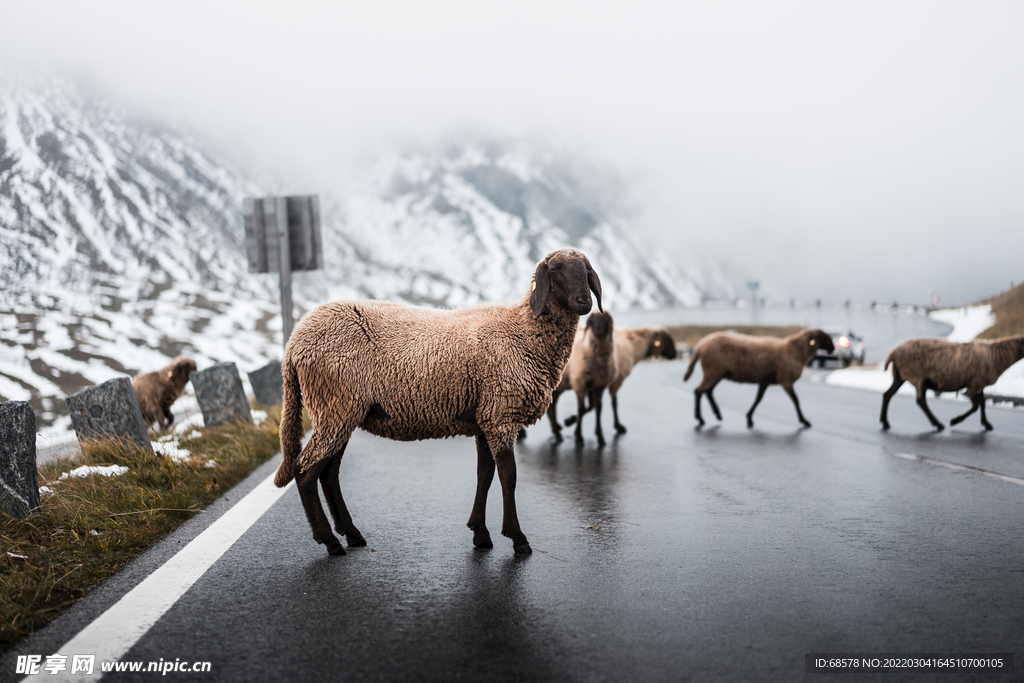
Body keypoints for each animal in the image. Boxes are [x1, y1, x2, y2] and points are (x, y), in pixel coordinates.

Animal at [276, 248, 602, 557]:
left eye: (586, 269)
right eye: (555, 269)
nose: (584, 301)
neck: (524, 331)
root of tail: (294, 343)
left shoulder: (485, 418)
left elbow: (484, 475)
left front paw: (480, 534)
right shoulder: (501, 416)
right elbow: (508, 477)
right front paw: (517, 539)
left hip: (341, 411)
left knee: (328, 473)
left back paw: (352, 534)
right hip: (335, 405)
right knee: (304, 471)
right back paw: (329, 541)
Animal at [679, 329, 831, 428]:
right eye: (824, 337)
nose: (833, 349)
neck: (795, 351)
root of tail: (700, 345)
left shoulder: (765, 380)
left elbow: (758, 399)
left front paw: (749, 418)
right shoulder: (786, 381)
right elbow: (796, 401)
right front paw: (805, 421)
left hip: (717, 373)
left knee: (708, 391)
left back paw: (717, 414)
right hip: (713, 371)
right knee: (699, 391)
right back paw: (700, 418)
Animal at [880, 333, 1024, 430]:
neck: (998, 355)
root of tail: (893, 353)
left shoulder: (978, 384)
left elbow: (982, 403)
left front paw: (986, 424)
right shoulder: (976, 383)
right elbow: (976, 406)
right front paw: (955, 421)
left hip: (900, 376)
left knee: (888, 394)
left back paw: (885, 422)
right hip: (917, 377)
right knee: (921, 401)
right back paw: (938, 424)